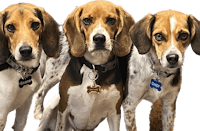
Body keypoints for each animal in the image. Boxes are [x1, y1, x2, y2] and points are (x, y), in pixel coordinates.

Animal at [0, 2, 59, 130]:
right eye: (10, 27)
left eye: (35, 24)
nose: (25, 51)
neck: (21, 71)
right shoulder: (1, 114)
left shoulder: (24, 106)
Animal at [36, 0, 135, 131]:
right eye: (86, 20)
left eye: (111, 20)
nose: (99, 38)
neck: (95, 67)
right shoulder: (63, 109)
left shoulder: (114, 113)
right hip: (52, 94)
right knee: (40, 93)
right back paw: (37, 114)